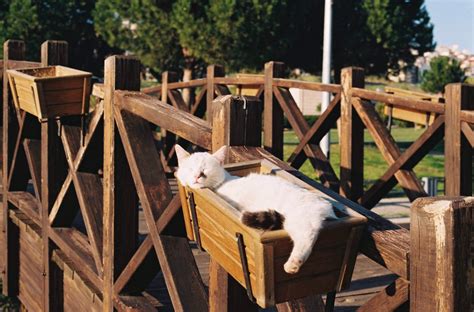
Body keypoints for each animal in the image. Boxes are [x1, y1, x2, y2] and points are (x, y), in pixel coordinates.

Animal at [175, 145, 336, 274]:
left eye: (205, 169)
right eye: (190, 169)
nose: (197, 176)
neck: (221, 185)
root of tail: (328, 208)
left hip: (299, 219)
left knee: (306, 236)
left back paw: (293, 264)